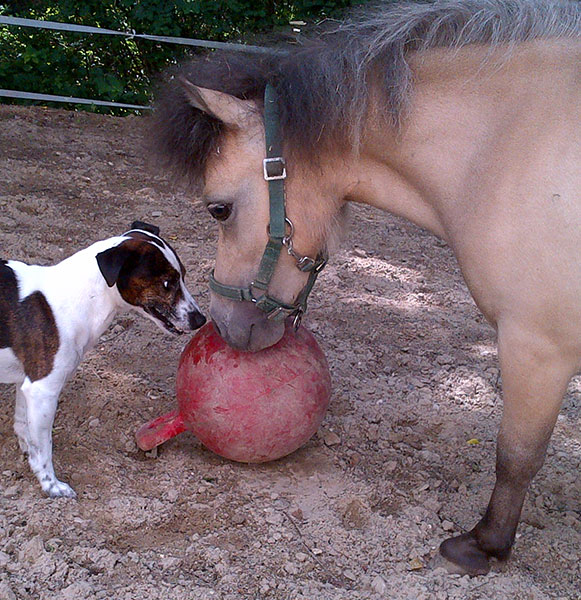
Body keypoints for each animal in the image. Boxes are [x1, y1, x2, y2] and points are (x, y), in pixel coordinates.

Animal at [0, 220, 205, 496]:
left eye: (183, 276)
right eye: (166, 283)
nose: (200, 320)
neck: (75, 300)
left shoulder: (28, 384)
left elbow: (25, 430)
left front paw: (29, 458)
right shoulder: (43, 389)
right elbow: (45, 448)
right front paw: (51, 485)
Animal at [151, 0, 580, 580]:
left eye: (219, 209)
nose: (221, 326)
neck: (506, 144)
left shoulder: (537, 346)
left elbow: (517, 454)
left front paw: (484, 545)